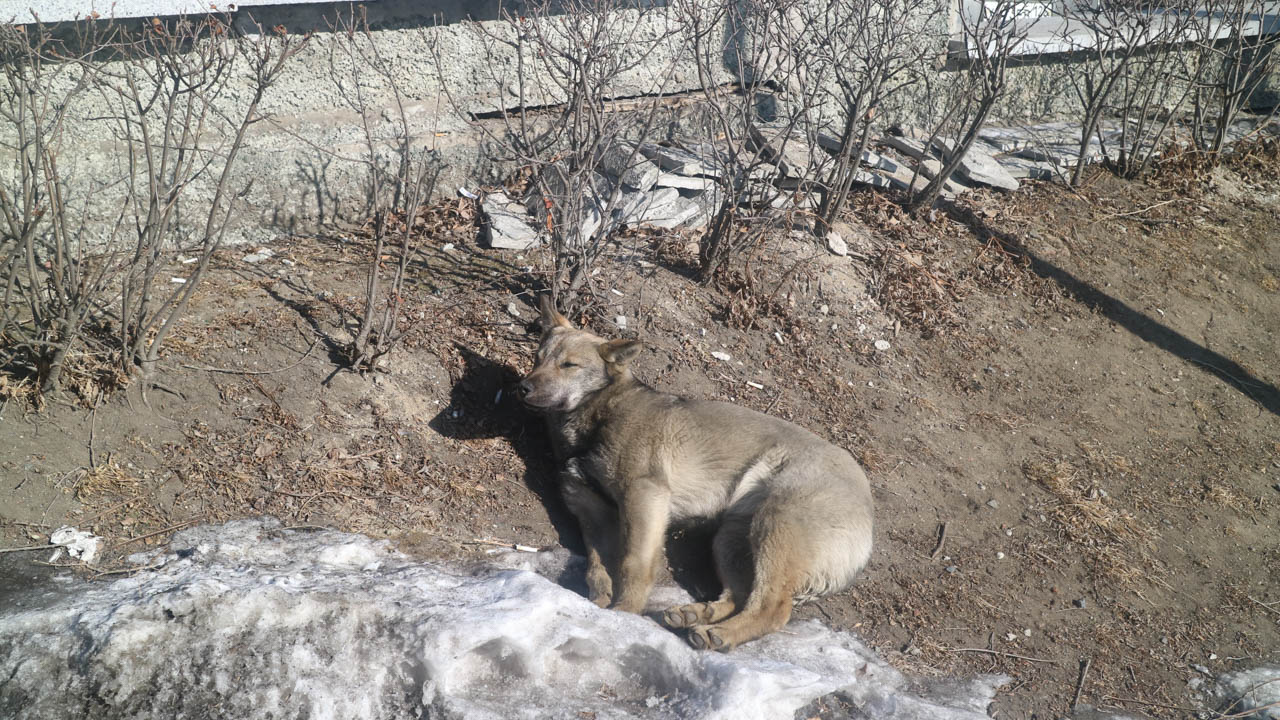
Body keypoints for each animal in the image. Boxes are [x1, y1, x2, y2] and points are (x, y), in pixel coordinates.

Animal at [518, 296, 874, 650]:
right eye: (538, 358)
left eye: (569, 365)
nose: (523, 387)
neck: (600, 414)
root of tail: (868, 511)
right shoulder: (591, 511)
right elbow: (596, 566)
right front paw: (598, 603)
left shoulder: (644, 496)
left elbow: (634, 563)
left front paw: (624, 613)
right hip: (730, 540)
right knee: (739, 596)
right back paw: (695, 615)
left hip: (775, 527)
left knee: (771, 608)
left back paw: (719, 634)